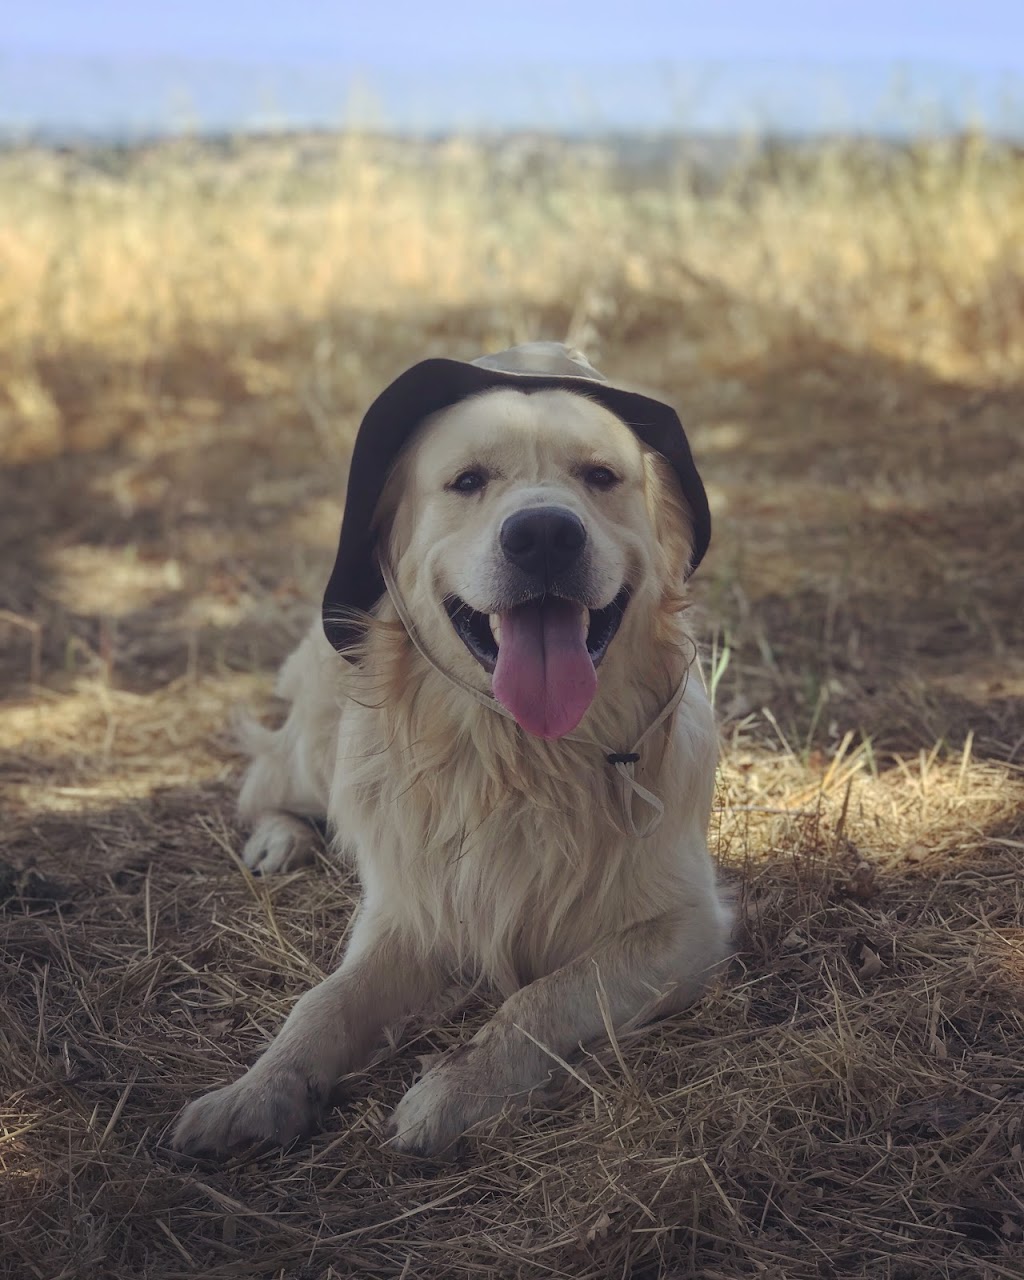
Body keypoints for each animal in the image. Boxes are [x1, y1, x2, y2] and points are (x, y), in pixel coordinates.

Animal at [171, 340, 732, 1162]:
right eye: (468, 481)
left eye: (600, 476)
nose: (543, 535)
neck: (523, 758)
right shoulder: (410, 909)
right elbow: (323, 1004)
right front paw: (253, 1094)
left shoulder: (686, 926)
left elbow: (545, 996)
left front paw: (453, 1092)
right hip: (317, 738)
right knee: (265, 785)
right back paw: (278, 841)